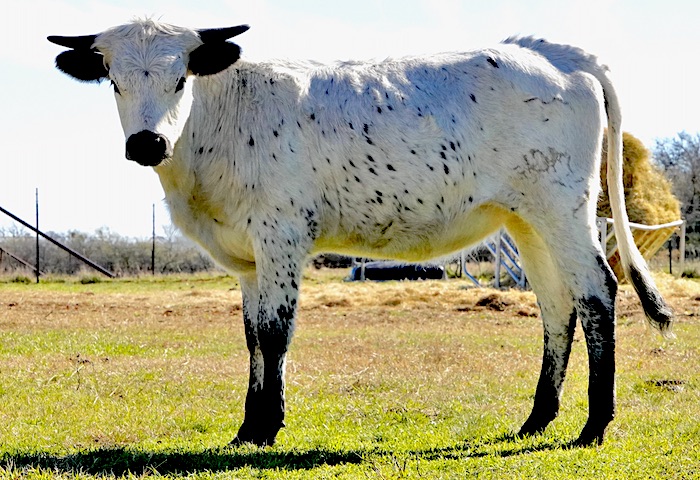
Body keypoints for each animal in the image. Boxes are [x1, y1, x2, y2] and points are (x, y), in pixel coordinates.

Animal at [49, 18, 672, 446]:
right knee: (556, 305)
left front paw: (268, 428)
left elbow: (275, 333)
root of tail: (549, 51)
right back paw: (537, 419)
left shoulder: (281, 237)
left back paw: (594, 426)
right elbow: (251, 337)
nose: (146, 143)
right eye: (113, 81)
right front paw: (247, 427)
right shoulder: (248, 258)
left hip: (562, 208)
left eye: (181, 79)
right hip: (526, 220)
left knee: (597, 292)